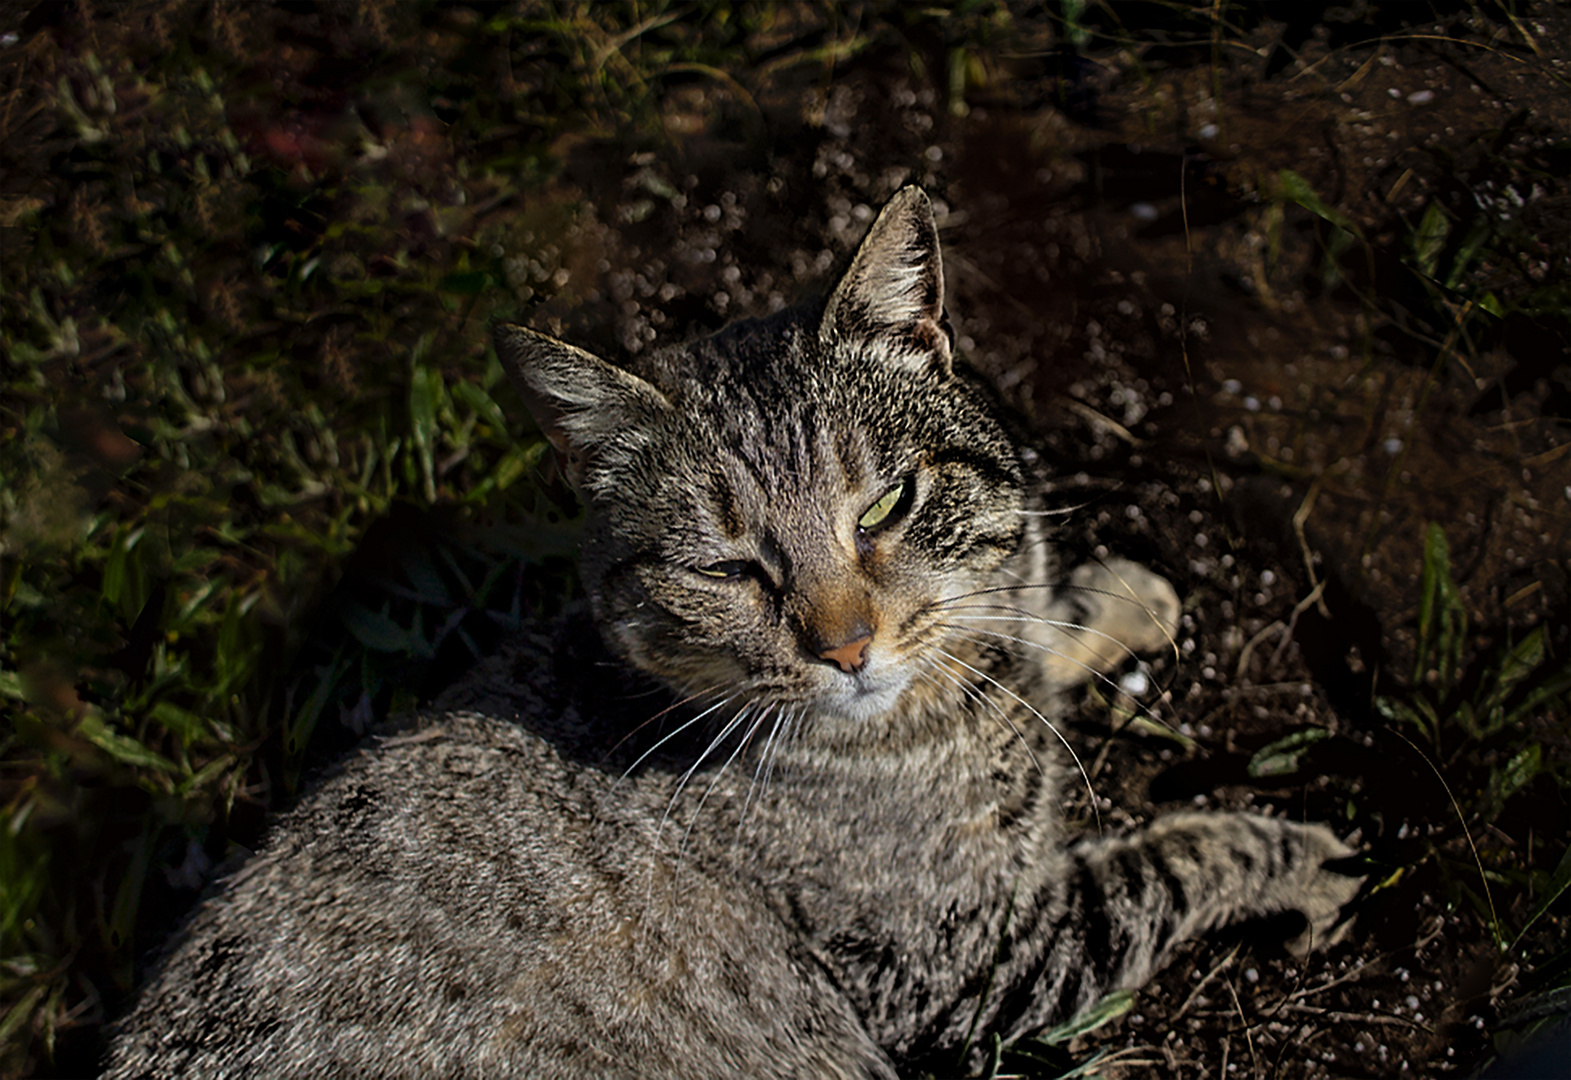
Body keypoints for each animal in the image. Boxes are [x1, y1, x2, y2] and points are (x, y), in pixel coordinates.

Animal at [107, 190, 1363, 1075]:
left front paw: (1107, 601)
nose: (844, 647)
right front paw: (1297, 857)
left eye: (885, 505)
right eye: (729, 569)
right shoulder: (973, 959)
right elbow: (1166, 865)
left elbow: (1019, 612)